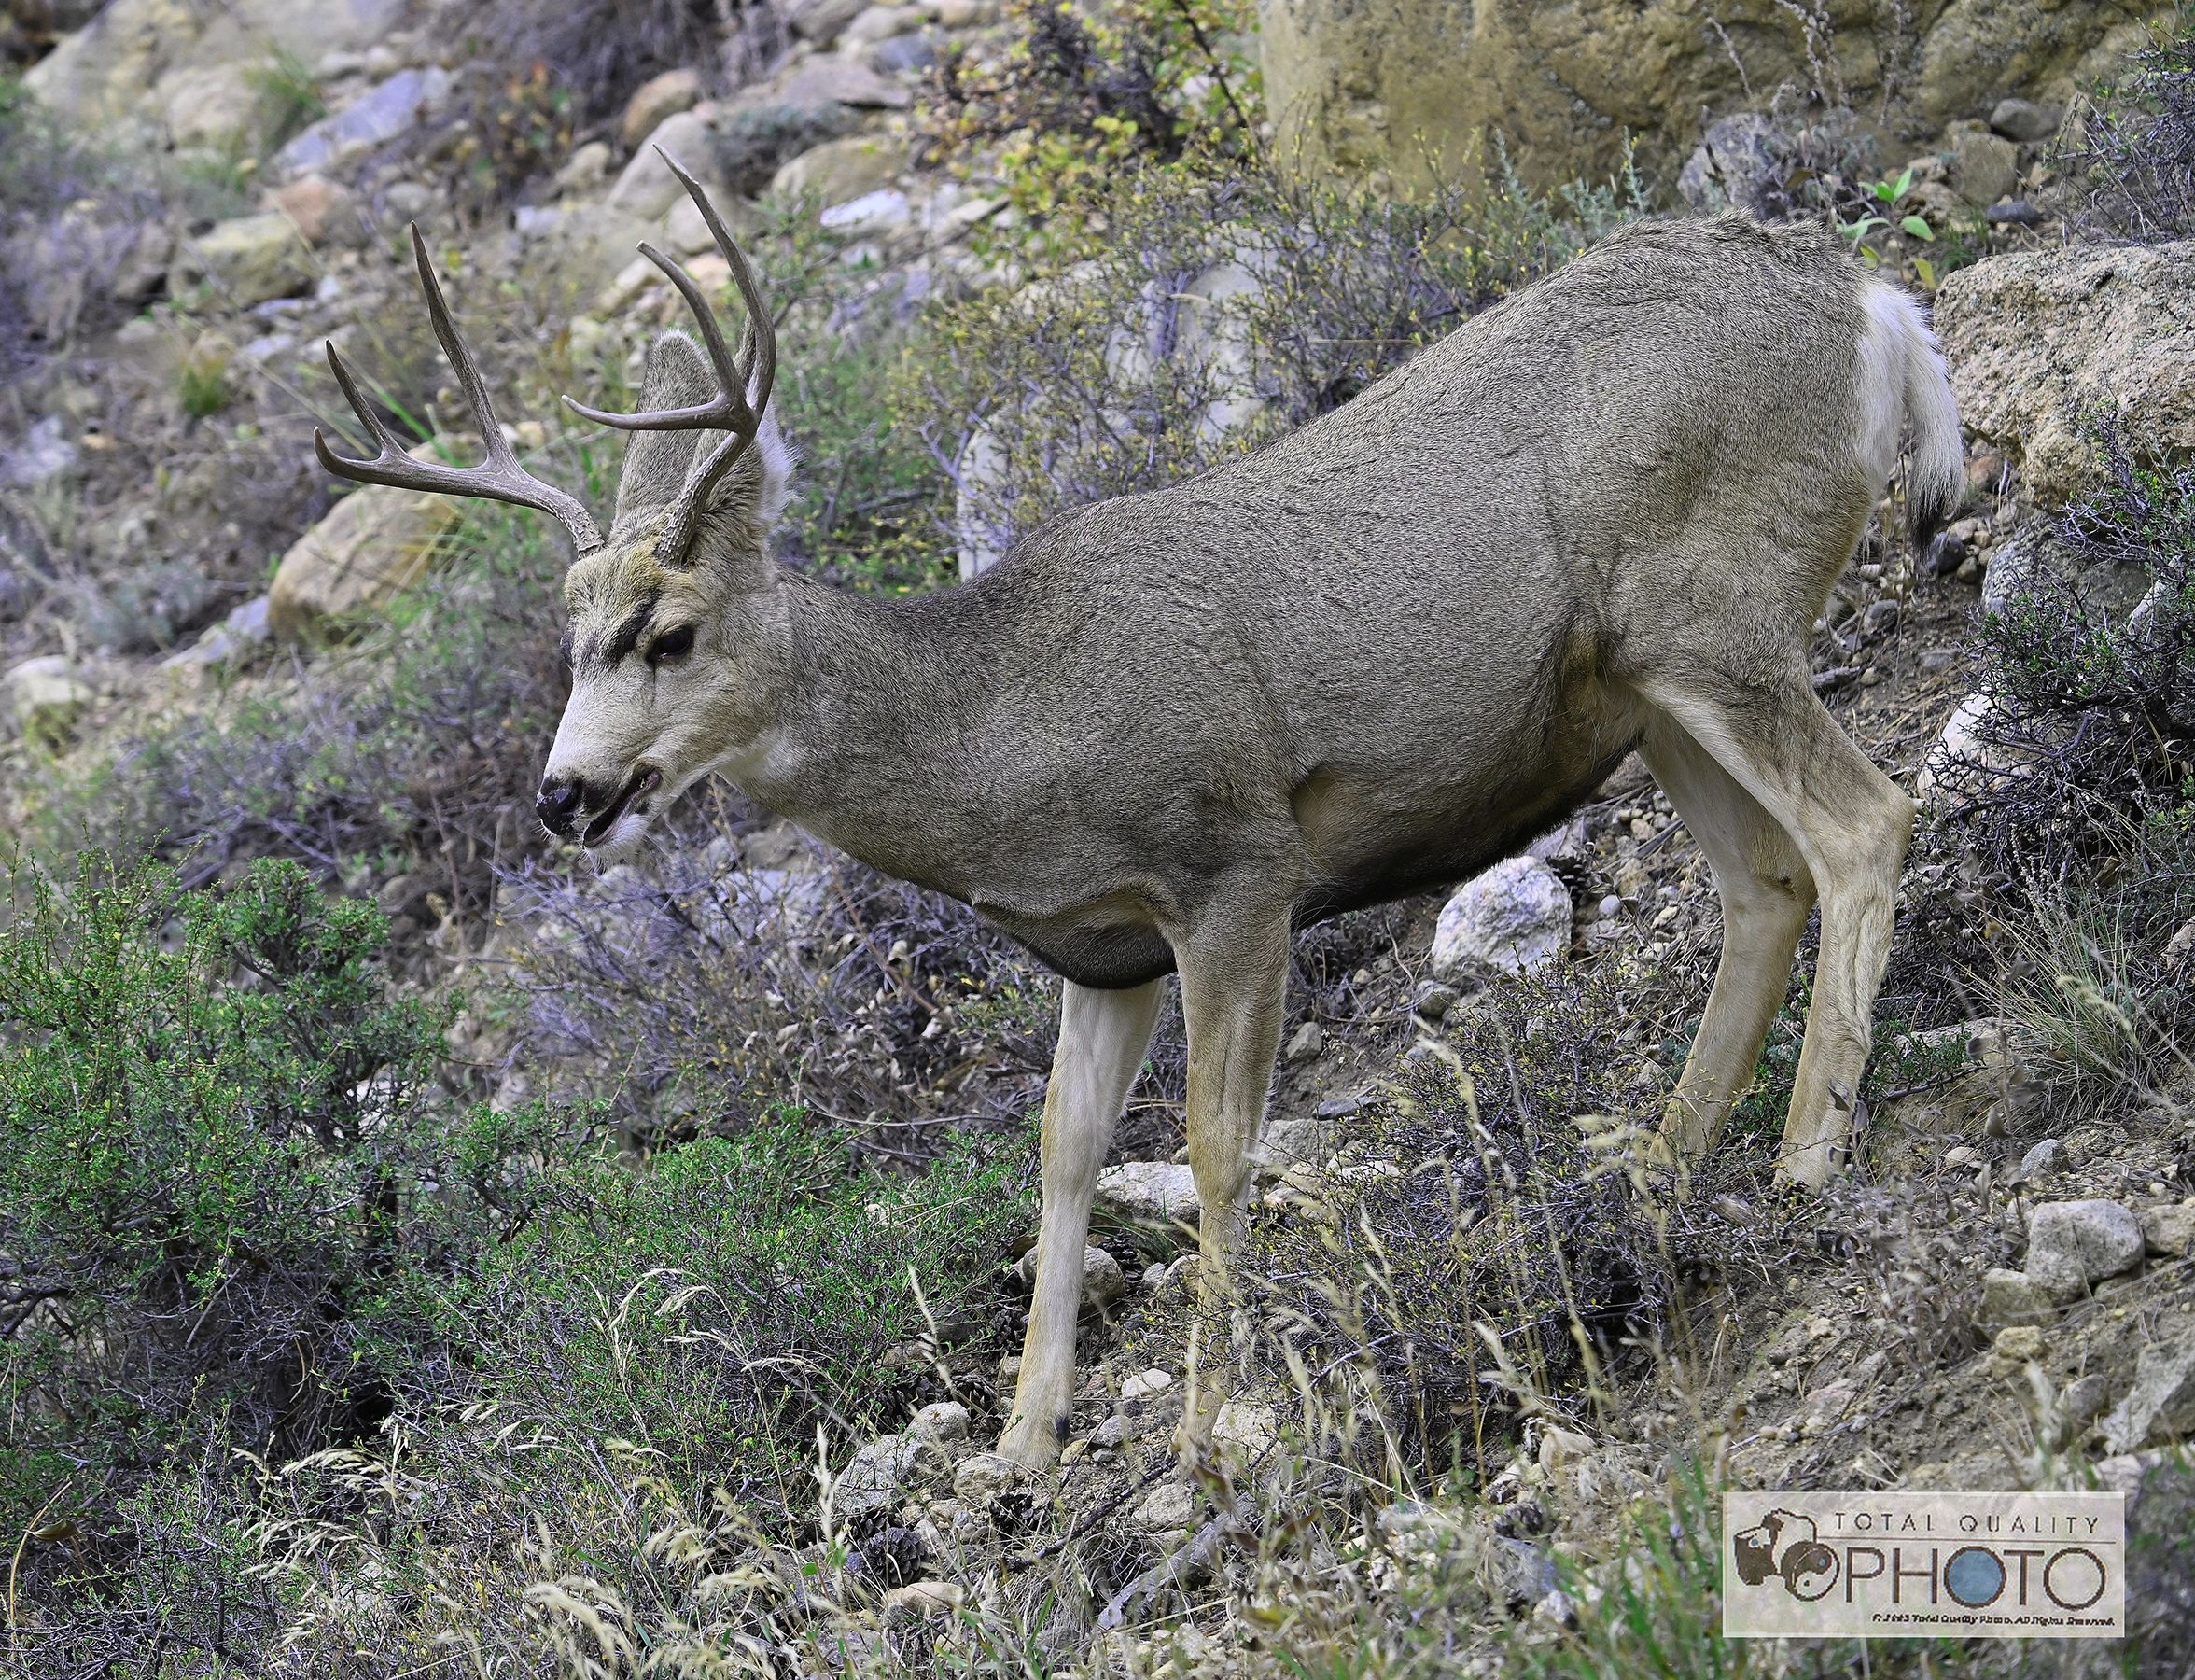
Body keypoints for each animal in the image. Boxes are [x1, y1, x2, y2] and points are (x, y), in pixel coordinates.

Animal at [315, 155, 1963, 1471]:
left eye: (668, 634)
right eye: (566, 637)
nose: (564, 794)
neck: (1005, 734)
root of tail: (1877, 302)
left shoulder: (1236, 866)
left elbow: (1225, 1150)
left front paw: (1203, 1425)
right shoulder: (1097, 952)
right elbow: (1061, 1159)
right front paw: (1022, 1444)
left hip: (1714, 609)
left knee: (1866, 823)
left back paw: (1806, 1158)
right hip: (1643, 683)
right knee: (1764, 882)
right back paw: (1659, 1174)